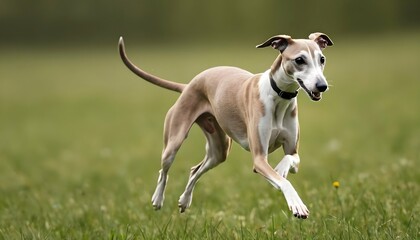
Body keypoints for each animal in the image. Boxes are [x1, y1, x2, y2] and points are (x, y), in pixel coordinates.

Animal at [118, 32, 334, 218]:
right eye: (299, 60)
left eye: (322, 59)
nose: (322, 86)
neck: (279, 96)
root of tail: (188, 85)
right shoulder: (259, 159)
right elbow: (284, 183)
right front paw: (297, 205)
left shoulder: (292, 150)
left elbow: (290, 160)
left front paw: (281, 169)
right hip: (174, 140)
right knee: (164, 170)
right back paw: (158, 198)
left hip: (219, 149)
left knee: (195, 170)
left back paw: (185, 200)